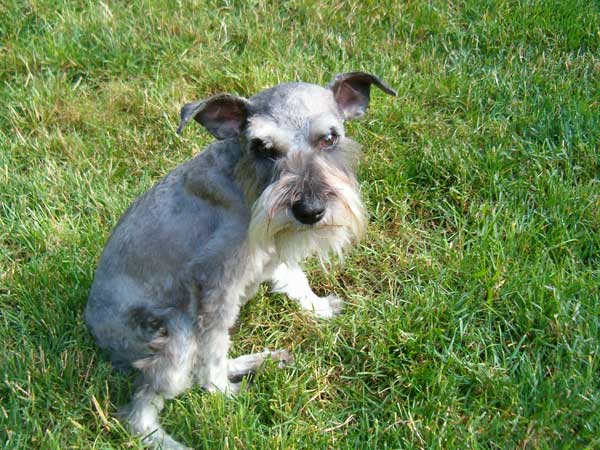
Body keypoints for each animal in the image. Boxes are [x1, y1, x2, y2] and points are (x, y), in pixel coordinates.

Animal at [83, 72, 394, 448]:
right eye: (263, 147)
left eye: (330, 138)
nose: (310, 211)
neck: (245, 182)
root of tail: (94, 329)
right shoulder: (215, 287)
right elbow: (213, 352)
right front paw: (221, 395)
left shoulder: (271, 253)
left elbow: (296, 280)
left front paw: (319, 307)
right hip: (174, 331)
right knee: (145, 407)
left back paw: (263, 360)